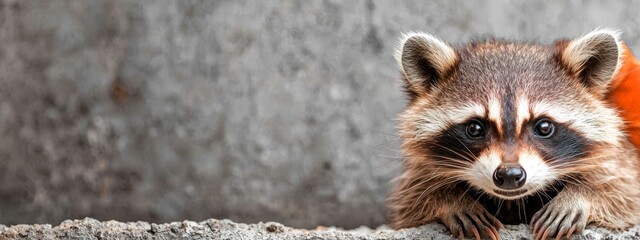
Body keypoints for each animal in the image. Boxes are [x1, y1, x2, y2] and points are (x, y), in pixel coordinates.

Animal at [388, 28, 640, 240]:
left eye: (544, 127)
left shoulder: (621, 161)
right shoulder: (415, 177)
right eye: (475, 128)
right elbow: (413, 200)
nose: (509, 174)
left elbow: (625, 192)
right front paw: (450, 199)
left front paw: (579, 195)